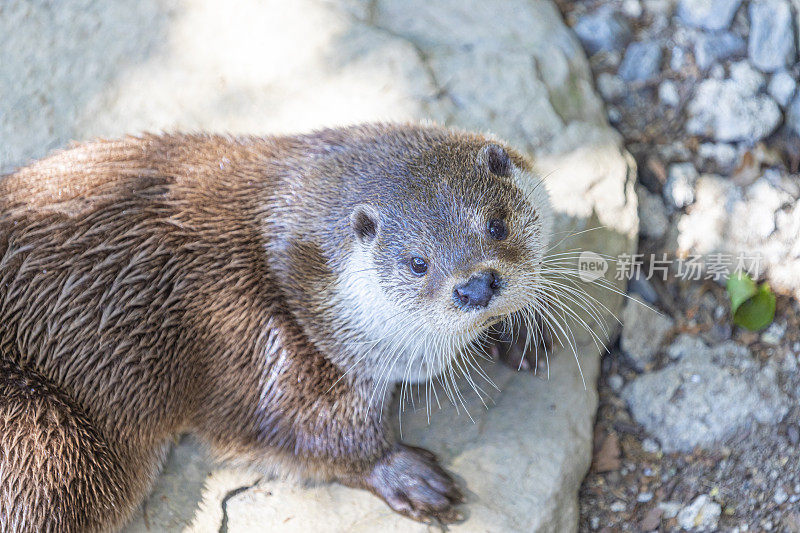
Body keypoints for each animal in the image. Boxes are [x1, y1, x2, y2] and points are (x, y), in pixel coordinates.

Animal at [0, 122, 552, 528]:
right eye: (418, 263)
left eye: (497, 224)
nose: (476, 287)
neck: (282, 260)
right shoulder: (250, 334)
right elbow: (297, 427)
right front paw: (403, 473)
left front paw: (522, 328)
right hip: (40, 434)